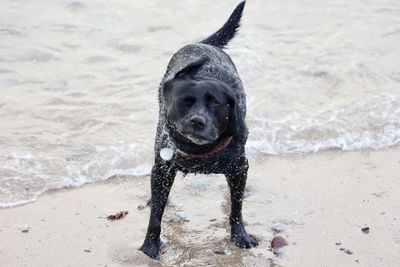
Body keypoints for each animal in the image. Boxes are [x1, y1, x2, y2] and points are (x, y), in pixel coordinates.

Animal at [139, 0, 258, 260]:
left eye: (215, 102)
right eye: (185, 100)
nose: (197, 121)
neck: (199, 151)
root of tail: (203, 43)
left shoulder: (239, 167)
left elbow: (236, 207)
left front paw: (240, 235)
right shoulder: (162, 170)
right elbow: (156, 215)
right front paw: (150, 245)